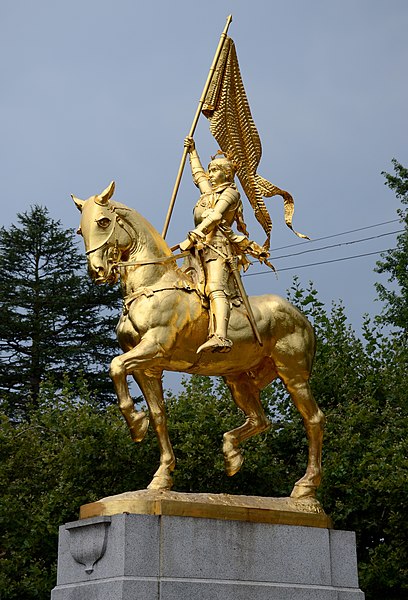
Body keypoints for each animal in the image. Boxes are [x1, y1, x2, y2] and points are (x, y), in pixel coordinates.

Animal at [71, 182, 324, 496]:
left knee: (313, 420)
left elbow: (115, 365)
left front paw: (136, 424)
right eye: (80, 230)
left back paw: (305, 486)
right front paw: (161, 475)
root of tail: (302, 318)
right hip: (238, 380)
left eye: (104, 221)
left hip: (293, 375)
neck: (153, 283)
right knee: (260, 419)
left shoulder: (154, 348)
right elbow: (158, 414)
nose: (97, 271)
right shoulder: (147, 367)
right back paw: (231, 455)